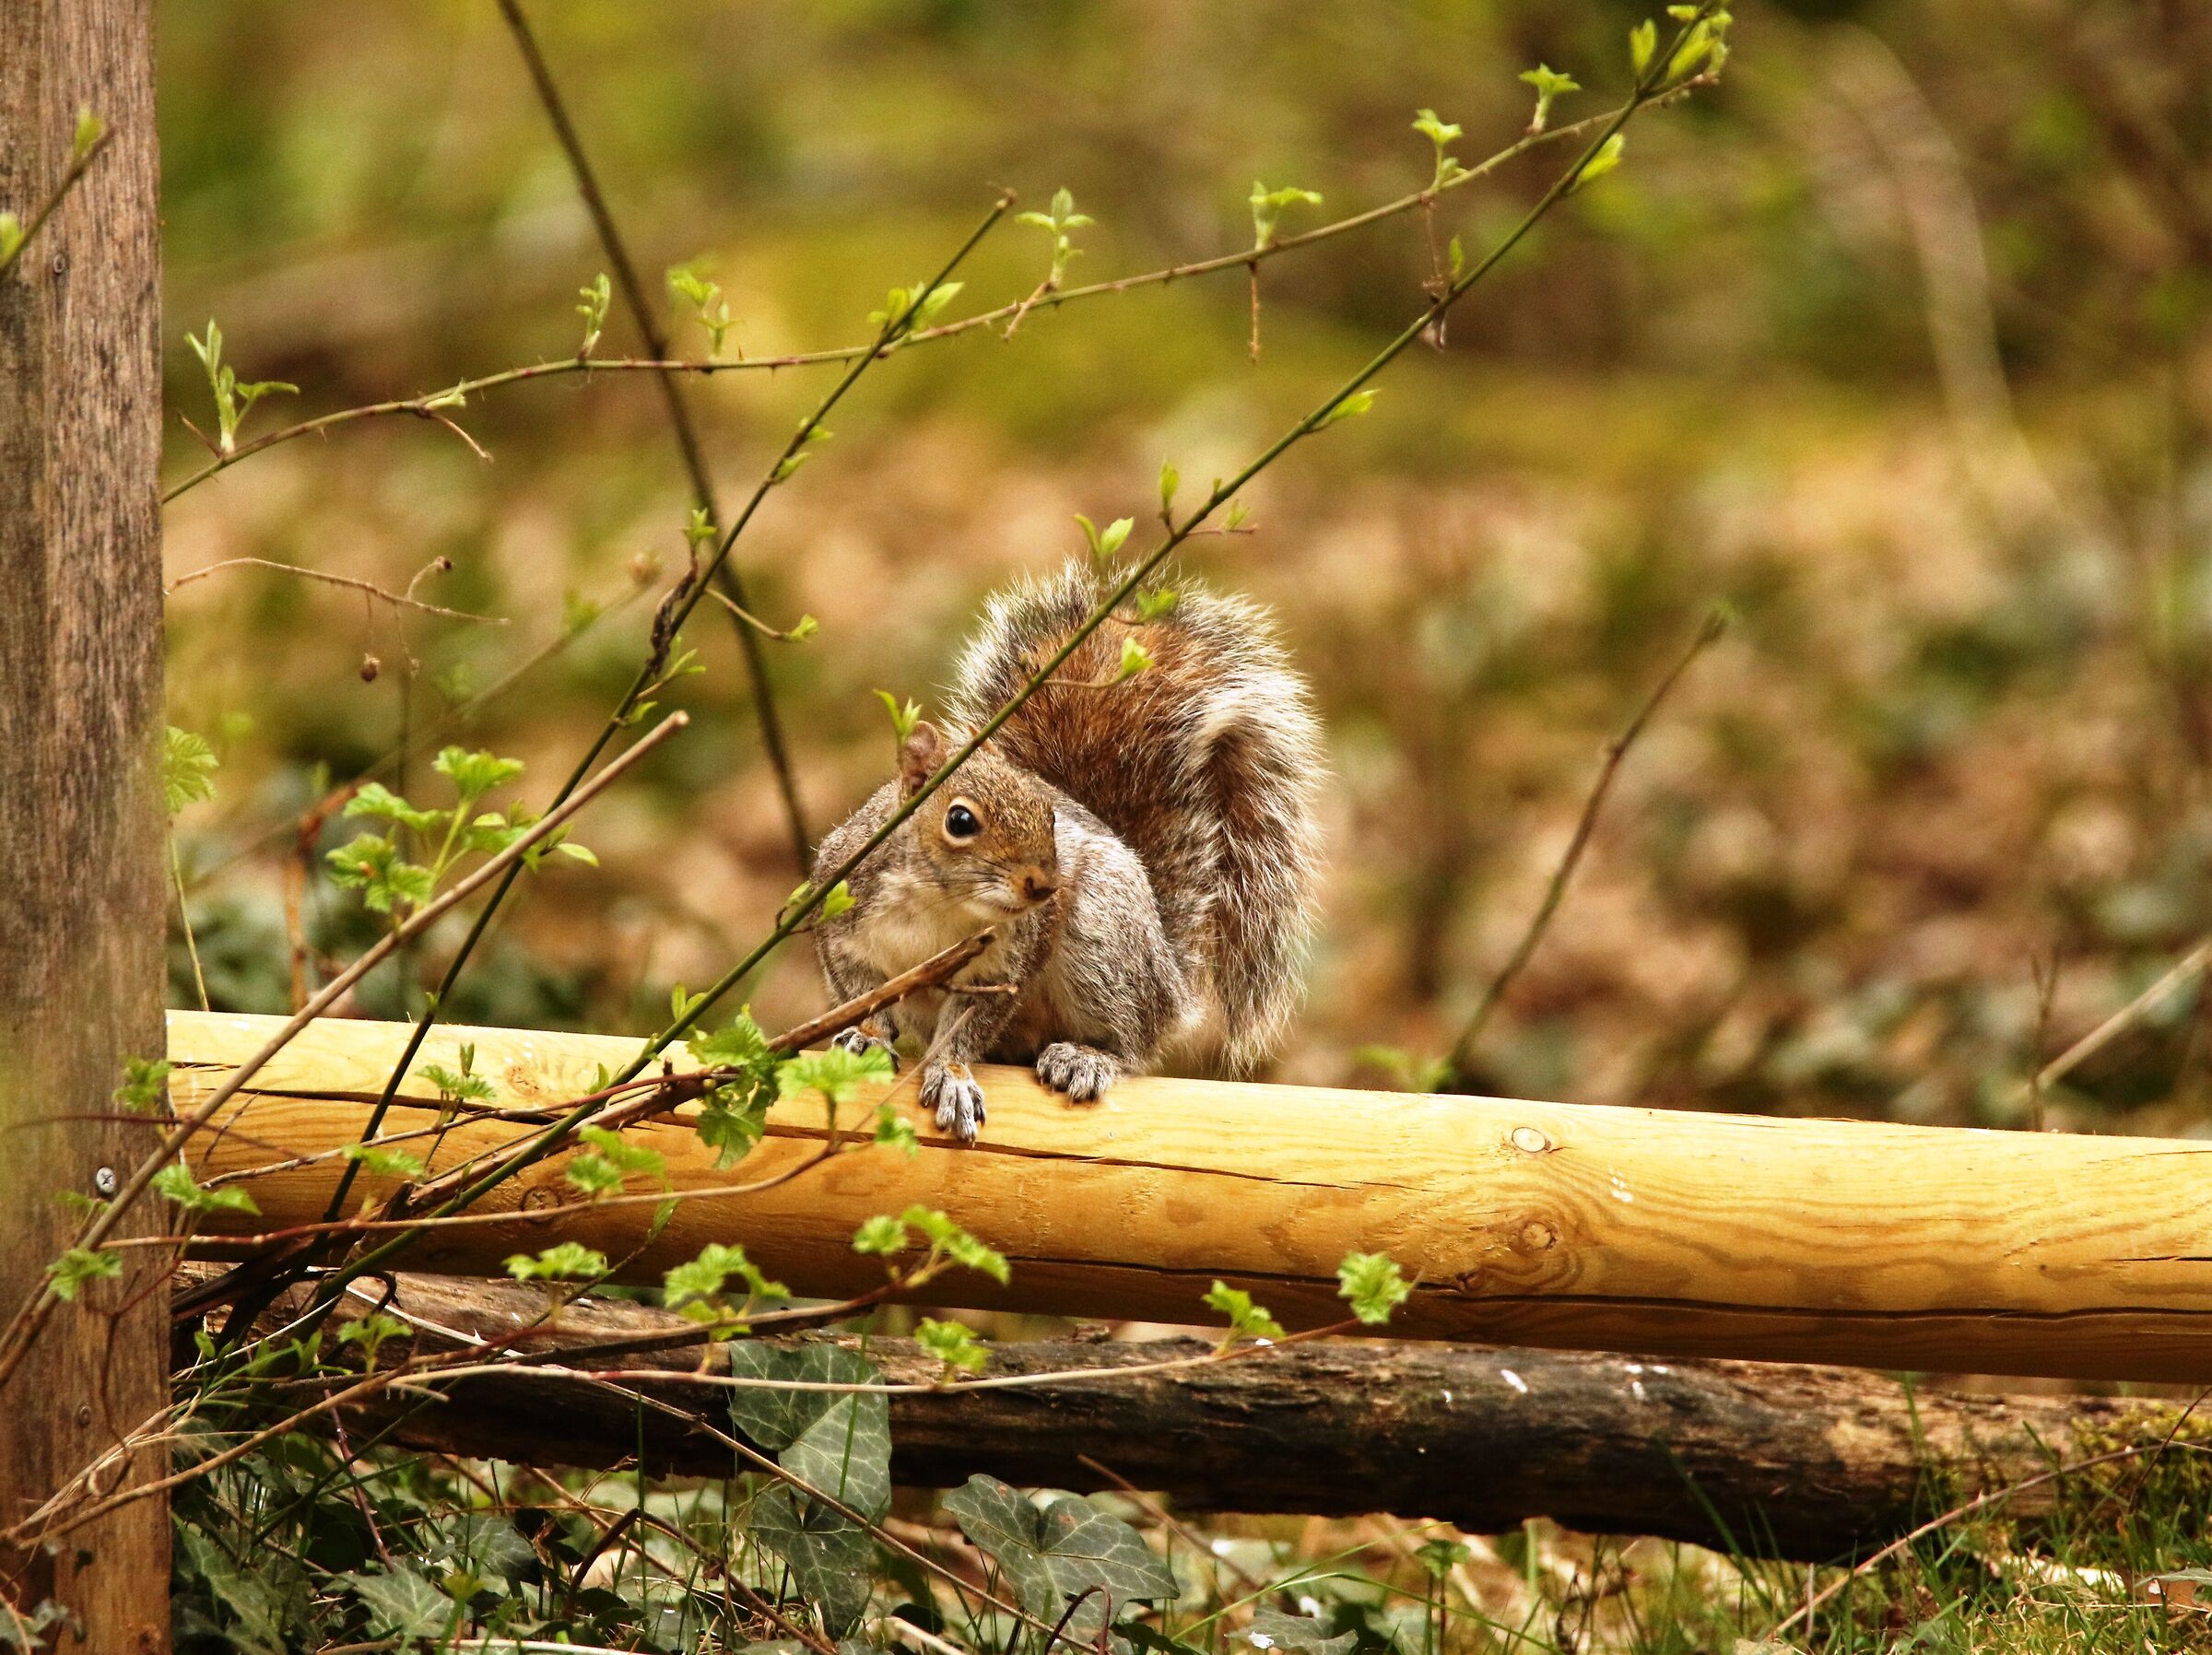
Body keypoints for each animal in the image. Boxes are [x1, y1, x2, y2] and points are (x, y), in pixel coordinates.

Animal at [810, 559, 1324, 1143]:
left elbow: (966, 1029)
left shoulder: (1001, 969)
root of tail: (1170, 985)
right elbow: (861, 995)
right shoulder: (841, 917)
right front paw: (867, 1036)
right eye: (960, 821)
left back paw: (1088, 1057)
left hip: (1104, 935)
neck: (937, 904)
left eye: (1051, 814)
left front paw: (953, 1074)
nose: (1043, 885)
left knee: (1132, 1043)